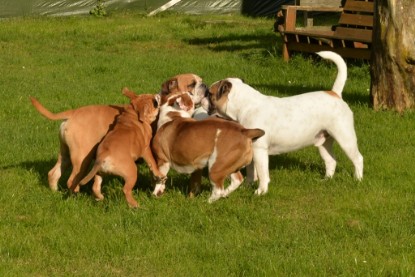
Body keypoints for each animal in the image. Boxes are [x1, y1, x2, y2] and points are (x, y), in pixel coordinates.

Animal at [30, 74, 208, 193]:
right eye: (192, 84)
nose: (204, 86)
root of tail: (72, 113)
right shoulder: (155, 154)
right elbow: (156, 172)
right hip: (82, 157)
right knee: (71, 179)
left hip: (66, 154)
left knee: (54, 173)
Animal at [207, 51, 364, 194]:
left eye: (210, 94)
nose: (204, 96)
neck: (246, 105)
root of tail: (335, 93)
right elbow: (251, 171)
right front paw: (247, 186)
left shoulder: (259, 150)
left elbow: (262, 173)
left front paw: (260, 191)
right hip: (323, 141)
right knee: (331, 160)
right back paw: (326, 180)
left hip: (345, 138)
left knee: (357, 158)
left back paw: (358, 179)